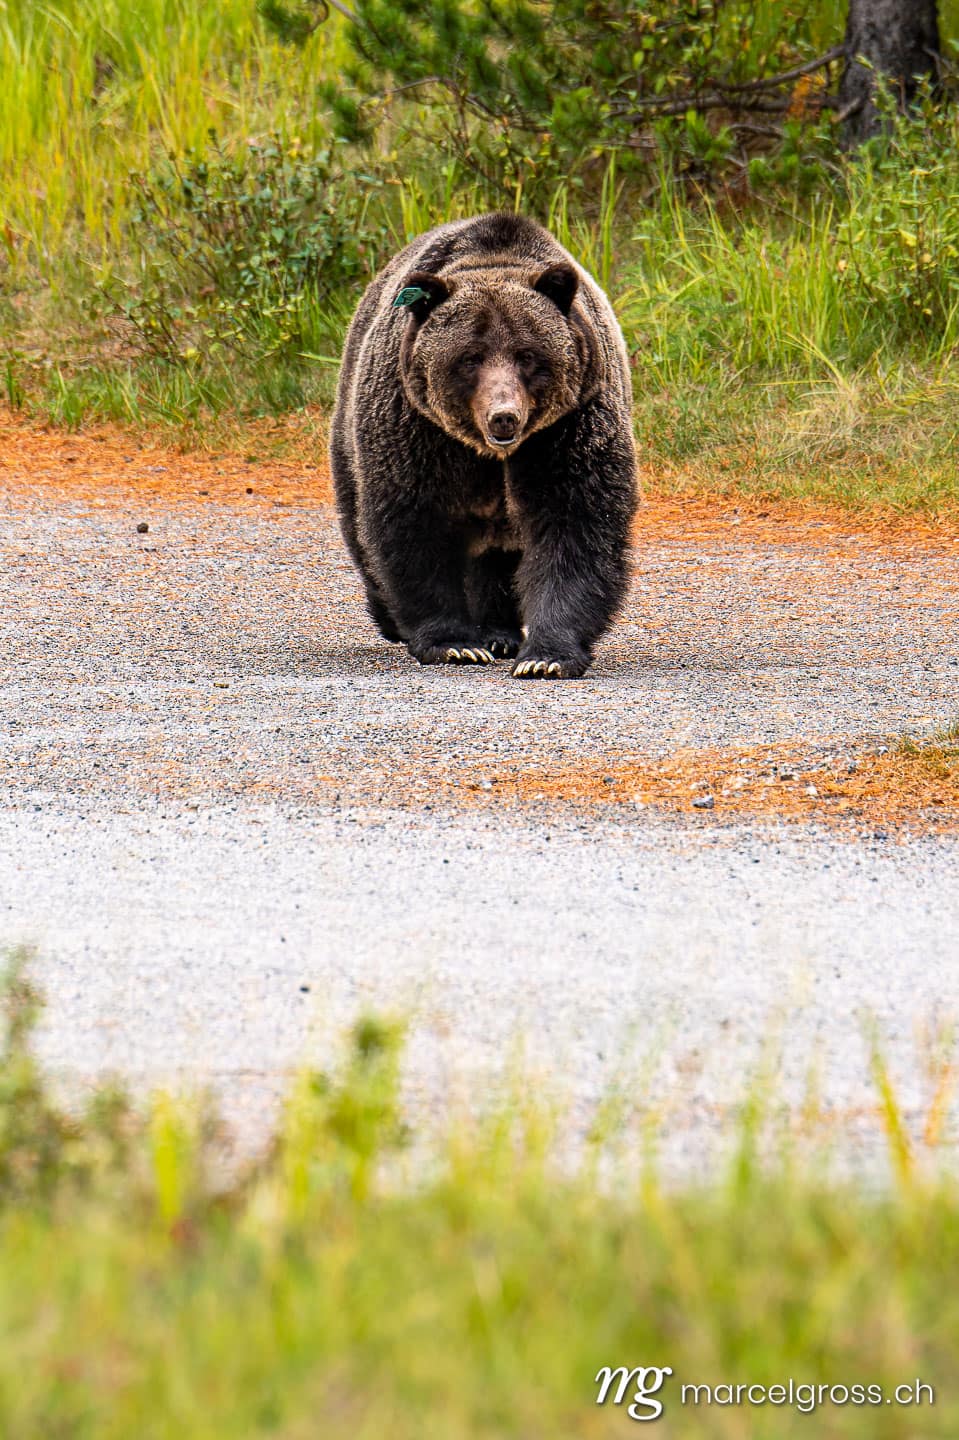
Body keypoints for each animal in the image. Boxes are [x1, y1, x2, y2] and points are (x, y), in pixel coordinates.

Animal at [330, 211, 638, 679]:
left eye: (527, 355)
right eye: (470, 358)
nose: (503, 416)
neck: (494, 454)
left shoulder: (567, 428)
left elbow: (576, 523)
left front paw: (546, 656)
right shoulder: (419, 430)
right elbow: (415, 523)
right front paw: (453, 643)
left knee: (495, 560)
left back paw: (499, 632)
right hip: (350, 429)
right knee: (361, 527)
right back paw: (394, 620)